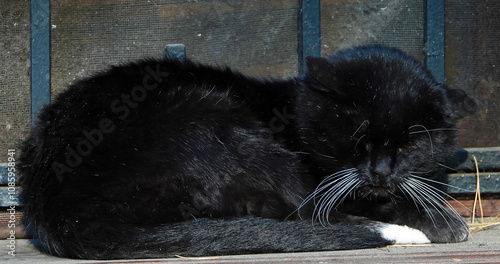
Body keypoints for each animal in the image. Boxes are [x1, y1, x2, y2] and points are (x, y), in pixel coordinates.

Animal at [17, 46, 474, 260]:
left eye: (410, 145)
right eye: (359, 137)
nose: (381, 171)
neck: (296, 111)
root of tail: (59, 208)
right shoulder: (324, 182)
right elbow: (341, 201)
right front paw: (440, 220)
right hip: (218, 124)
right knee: (301, 211)